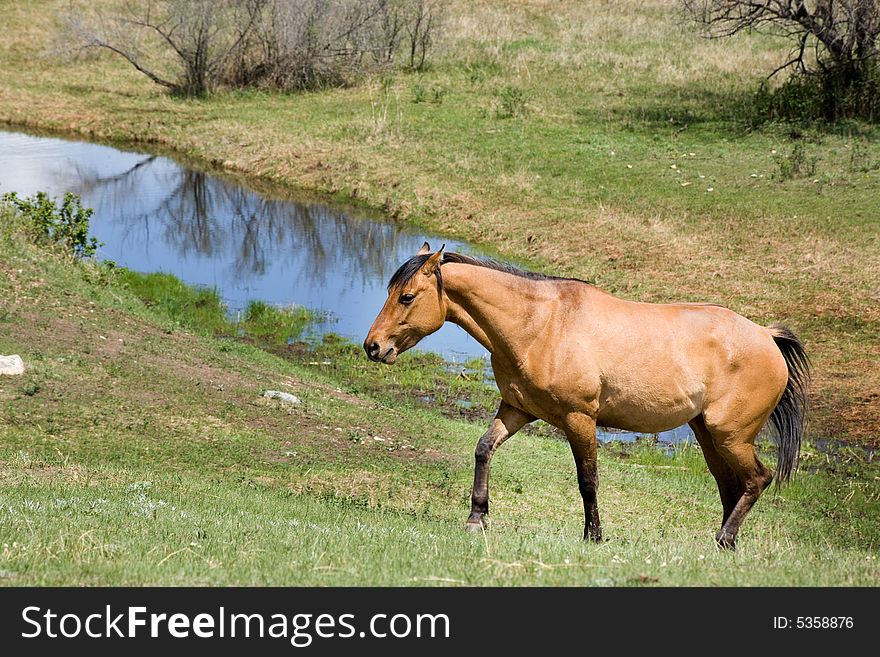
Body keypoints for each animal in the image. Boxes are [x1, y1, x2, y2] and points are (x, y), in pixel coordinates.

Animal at [364, 243, 812, 544]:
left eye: (406, 296)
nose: (373, 347)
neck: (540, 324)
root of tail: (767, 337)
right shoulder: (516, 409)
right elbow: (483, 449)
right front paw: (477, 518)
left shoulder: (579, 418)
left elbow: (588, 480)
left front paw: (593, 535)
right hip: (708, 435)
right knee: (731, 485)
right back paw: (723, 542)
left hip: (729, 435)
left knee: (757, 479)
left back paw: (724, 539)